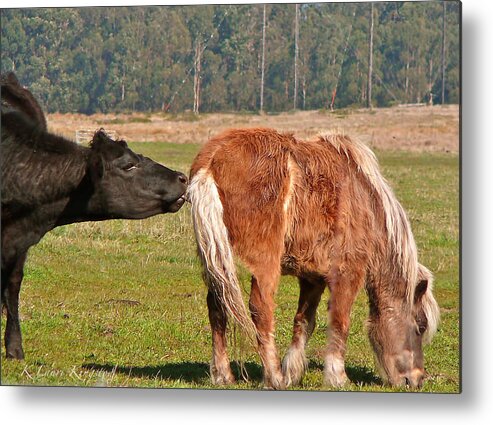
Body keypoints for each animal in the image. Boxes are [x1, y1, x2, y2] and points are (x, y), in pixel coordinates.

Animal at [187, 126, 438, 388]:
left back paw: (223, 375)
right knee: (261, 311)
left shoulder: (312, 278)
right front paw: (337, 377)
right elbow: (339, 322)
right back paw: (273, 377)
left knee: (217, 306)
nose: (417, 379)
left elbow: (305, 322)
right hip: (265, 265)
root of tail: (212, 161)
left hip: (216, 260)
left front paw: (293, 372)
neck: (365, 202)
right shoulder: (347, 274)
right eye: (420, 326)